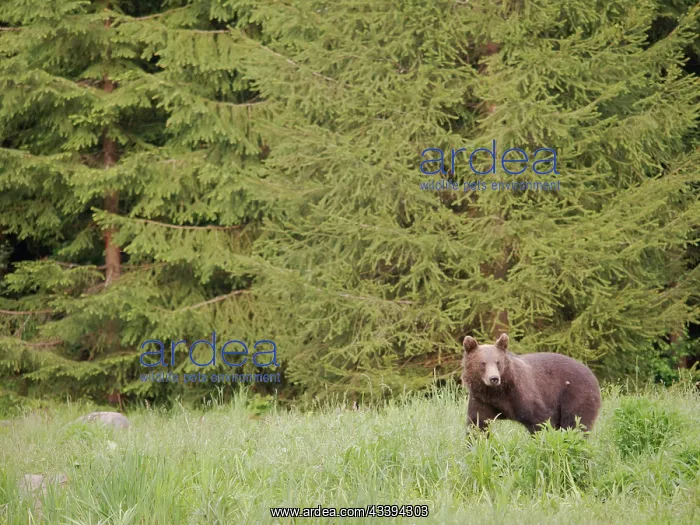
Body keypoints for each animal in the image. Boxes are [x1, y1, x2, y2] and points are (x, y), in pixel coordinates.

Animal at [461, 333, 601, 434]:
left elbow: (540, 420)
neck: (497, 392)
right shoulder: (481, 400)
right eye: (482, 363)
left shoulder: (521, 393)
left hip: (577, 394)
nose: (494, 378)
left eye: (498, 362)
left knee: (575, 422)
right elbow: (477, 424)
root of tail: (592, 374)